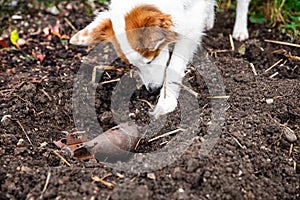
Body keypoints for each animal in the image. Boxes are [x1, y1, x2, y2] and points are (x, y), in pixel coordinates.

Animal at [70, 0, 251, 118]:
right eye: (133, 66)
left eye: (150, 60)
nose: (153, 89)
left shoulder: (190, 28)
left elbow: (174, 67)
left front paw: (166, 101)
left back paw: (240, 30)